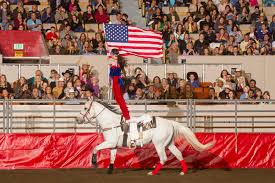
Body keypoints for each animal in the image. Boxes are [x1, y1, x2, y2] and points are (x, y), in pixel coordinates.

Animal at [76, 99, 217, 175]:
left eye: (85, 107)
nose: (77, 119)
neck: (112, 123)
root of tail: (170, 122)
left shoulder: (109, 143)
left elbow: (95, 148)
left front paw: (94, 163)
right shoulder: (113, 145)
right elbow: (112, 157)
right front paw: (109, 171)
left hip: (159, 144)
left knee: (163, 158)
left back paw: (153, 173)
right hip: (168, 143)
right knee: (178, 154)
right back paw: (183, 171)